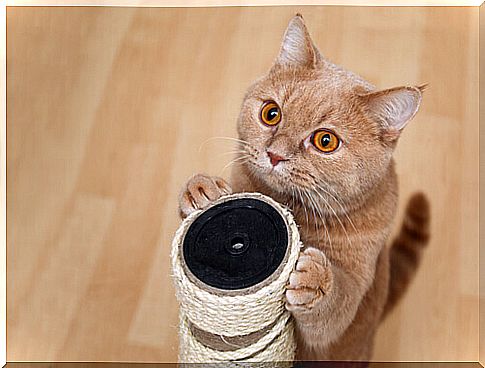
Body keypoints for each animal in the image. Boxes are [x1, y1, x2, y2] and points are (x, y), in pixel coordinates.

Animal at [177, 13, 428, 360]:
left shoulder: (355, 283)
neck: (294, 209)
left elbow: (336, 306)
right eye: (271, 113)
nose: (275, 154)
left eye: (325, 141)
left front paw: (316, 279)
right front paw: (202, 189)